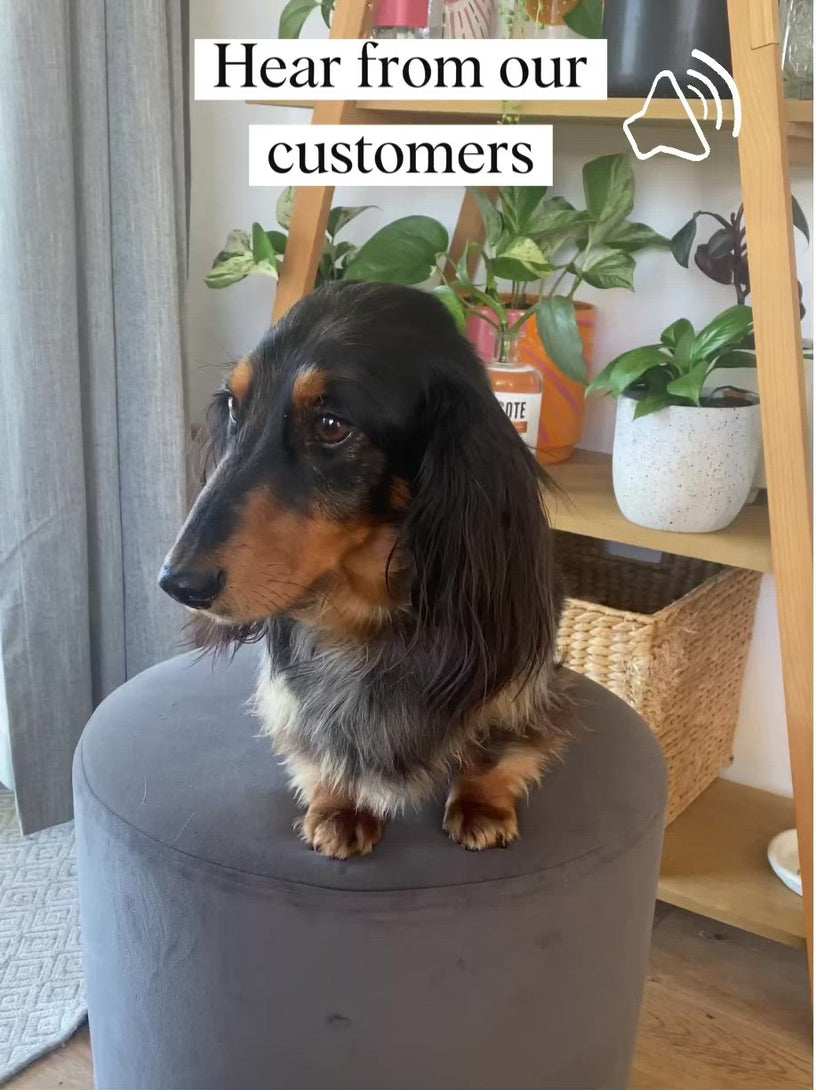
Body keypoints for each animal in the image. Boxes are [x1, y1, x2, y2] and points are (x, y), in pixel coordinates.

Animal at [160, 282, 570, 859]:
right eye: (236, 406)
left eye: (332, 425)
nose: (179, 583)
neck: (367, 608)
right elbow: (316, 736)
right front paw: (339, 802)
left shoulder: (523, 674)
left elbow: (497, 741)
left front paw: (481, 801)